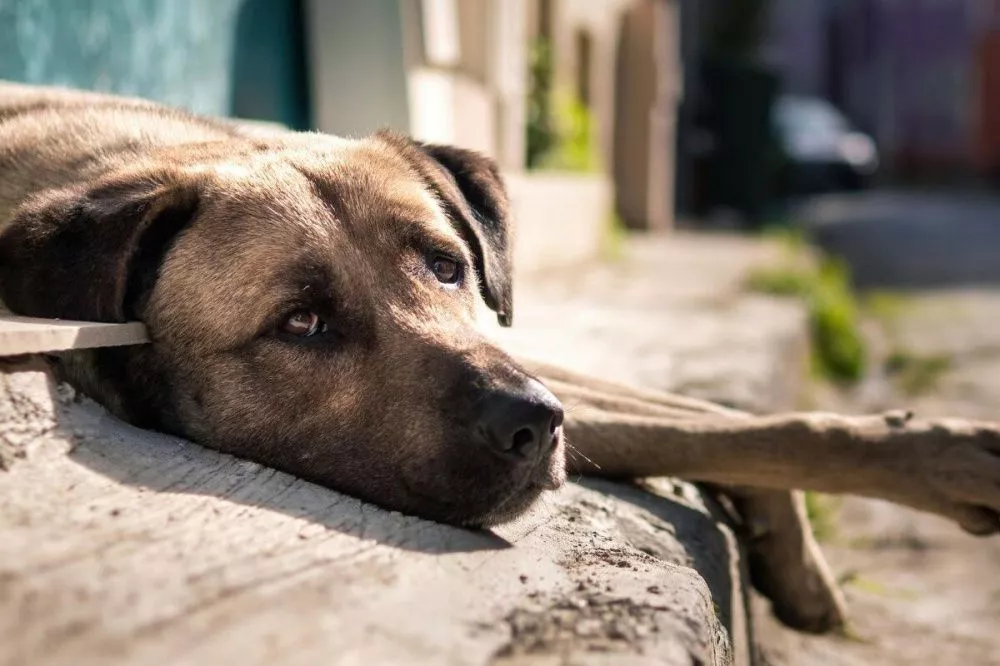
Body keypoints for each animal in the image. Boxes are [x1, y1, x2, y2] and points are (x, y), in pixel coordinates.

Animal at [1, 83, 1000, 632]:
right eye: (301, 322)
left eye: (447, 265)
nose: (534, 424)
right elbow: (717, 426)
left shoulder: (521, 352)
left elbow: (723, 419)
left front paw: (905, 471)